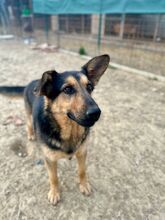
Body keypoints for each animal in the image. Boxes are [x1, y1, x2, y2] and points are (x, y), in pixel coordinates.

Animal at [0, 54, 111, 205]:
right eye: (68, 89)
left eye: (89, 87)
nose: (96, 113)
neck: (69, 130)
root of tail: (33, 81)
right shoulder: (50, 159)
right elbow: (53, 178)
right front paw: (54, 193)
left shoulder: (82, 153)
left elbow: (82, 171)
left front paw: (84, 185)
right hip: (28, 115)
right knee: (28, 124)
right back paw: (31, 135)